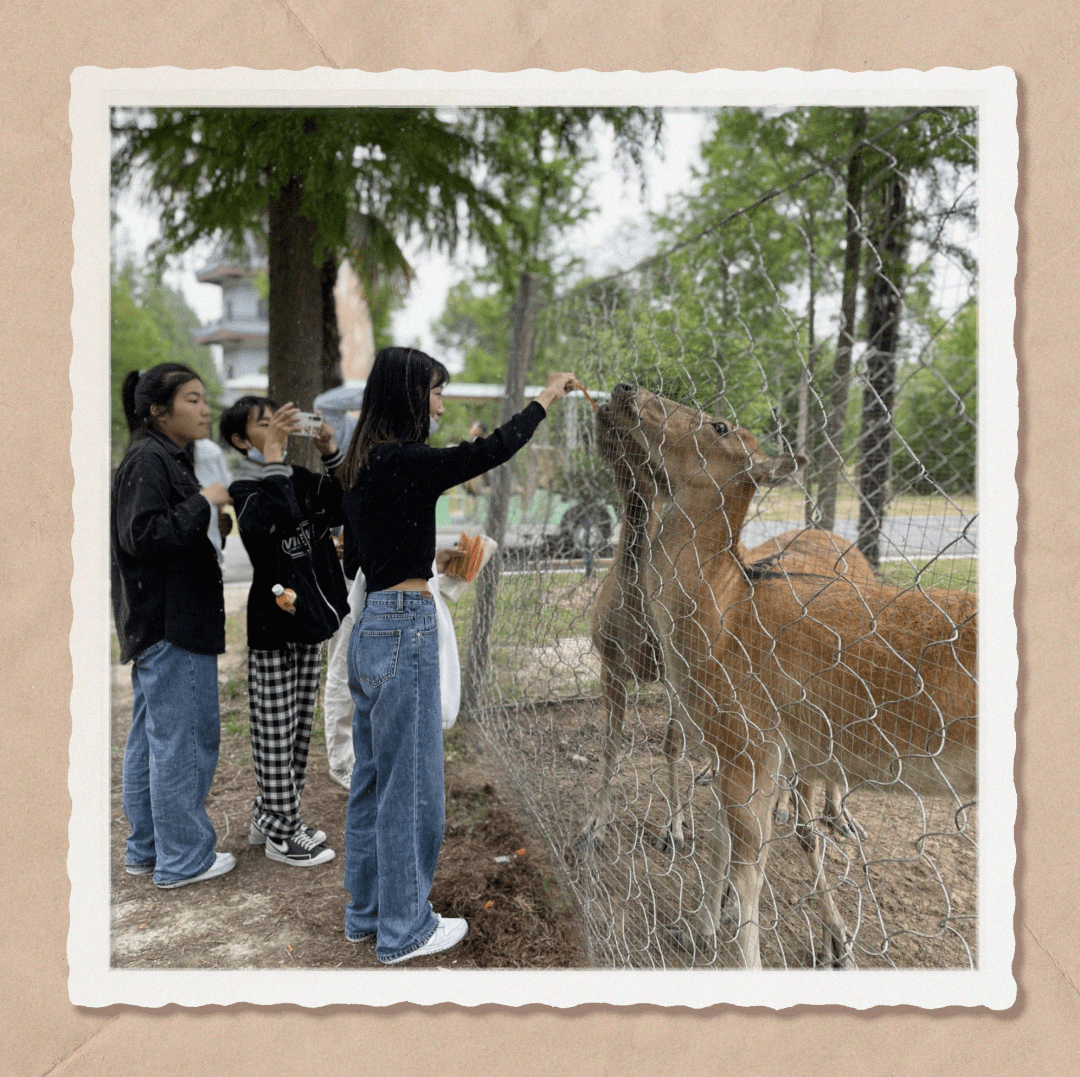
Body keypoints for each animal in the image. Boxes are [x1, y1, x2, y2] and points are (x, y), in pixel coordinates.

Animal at [582, 398, 874, 855]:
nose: (618, 397)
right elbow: (611, 743)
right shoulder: (609, 659)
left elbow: (672, 743)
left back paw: (838, 817)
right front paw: (594, 825)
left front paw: (675, 829)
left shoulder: (676, 673)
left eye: (720, 426)